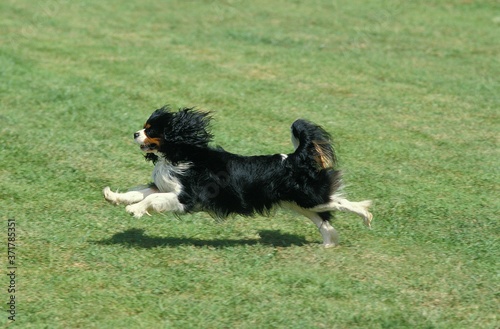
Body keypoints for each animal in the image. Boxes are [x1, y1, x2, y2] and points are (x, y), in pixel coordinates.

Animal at [104, 105, 372, 246]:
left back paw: (365, 214)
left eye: (150, 130)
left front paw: (134, 211)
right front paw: (113, 197)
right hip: (298, 203)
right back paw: (328, 243)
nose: (134, 133)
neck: (179, 154)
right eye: (144, 128)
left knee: (339, 201)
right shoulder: (163, 187)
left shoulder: (186, 197)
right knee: (323, 220)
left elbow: (149, 199)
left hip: (309, 197)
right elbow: (139, 191)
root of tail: (293, 158)